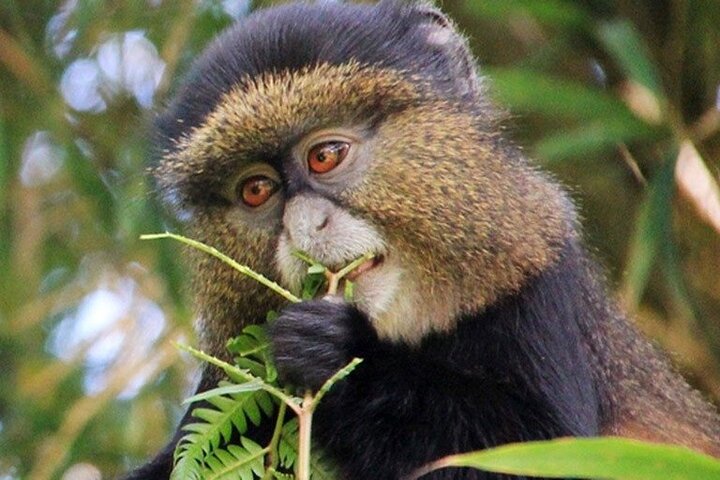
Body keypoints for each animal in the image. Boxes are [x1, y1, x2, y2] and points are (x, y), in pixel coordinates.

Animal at [125, 1, 720, 479]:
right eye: (256, 190)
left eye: (325, 156)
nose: (303, 229)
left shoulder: (538, 283)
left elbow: (536, 451)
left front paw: (339, 351)